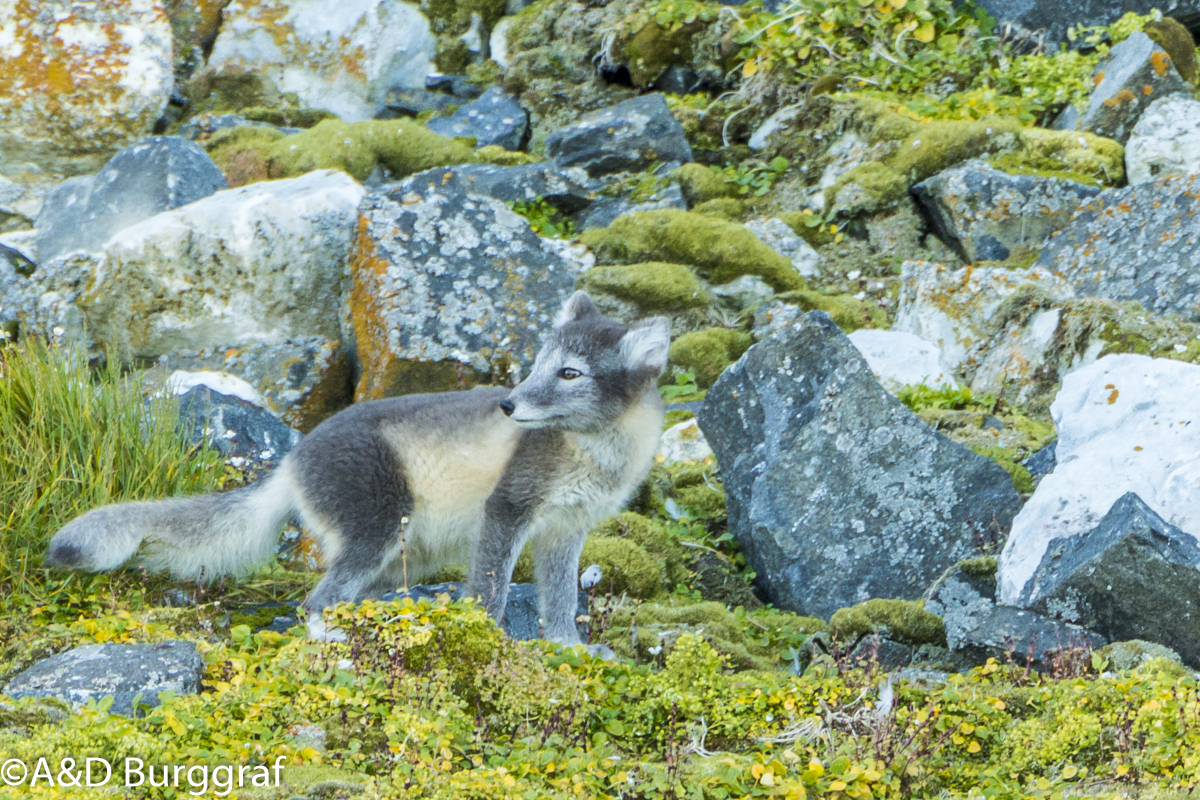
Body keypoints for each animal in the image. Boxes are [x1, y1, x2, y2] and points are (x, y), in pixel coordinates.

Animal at [44, 291, 667, 647]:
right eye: (539, 364)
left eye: (570, 373)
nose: (510, 407)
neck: (598, 452)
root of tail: (291, 460)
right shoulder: (508, 507)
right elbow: (490, 590)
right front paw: (491, 646)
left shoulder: (567, 530)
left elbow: (560, 601)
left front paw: (568, 650)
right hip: (378, 528)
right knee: (313, 602)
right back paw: (335, 645)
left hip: (394, 559)